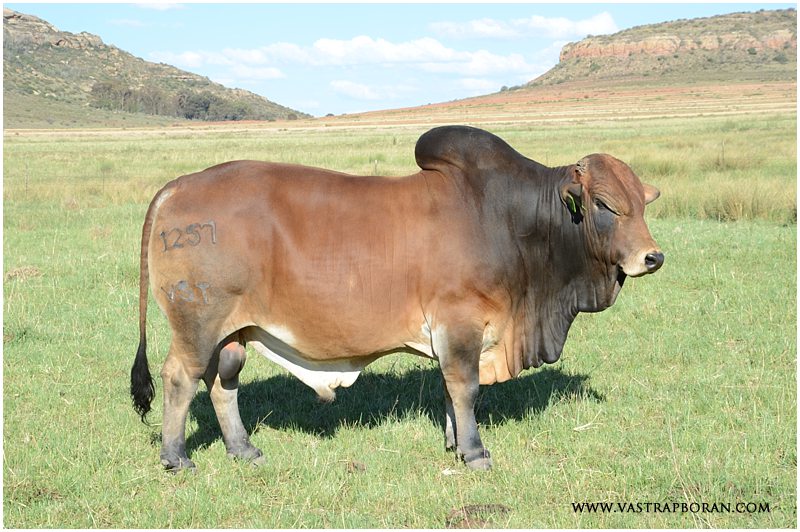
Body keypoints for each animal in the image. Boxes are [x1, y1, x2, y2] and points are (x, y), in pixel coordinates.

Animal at [131, 125, 663, 471]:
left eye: (642, 203)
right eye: (605, 204)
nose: (652, 258)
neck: (512, 220)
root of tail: (180, 184)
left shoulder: (453, 334)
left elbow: (449, 390)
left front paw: (453, 443)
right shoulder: (459, 323)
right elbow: (466, 388)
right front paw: (475, 453)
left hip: (233, 333)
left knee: (223, 384)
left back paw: (243, 450)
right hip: (198, 324)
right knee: (180, 378)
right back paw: (176, 457)